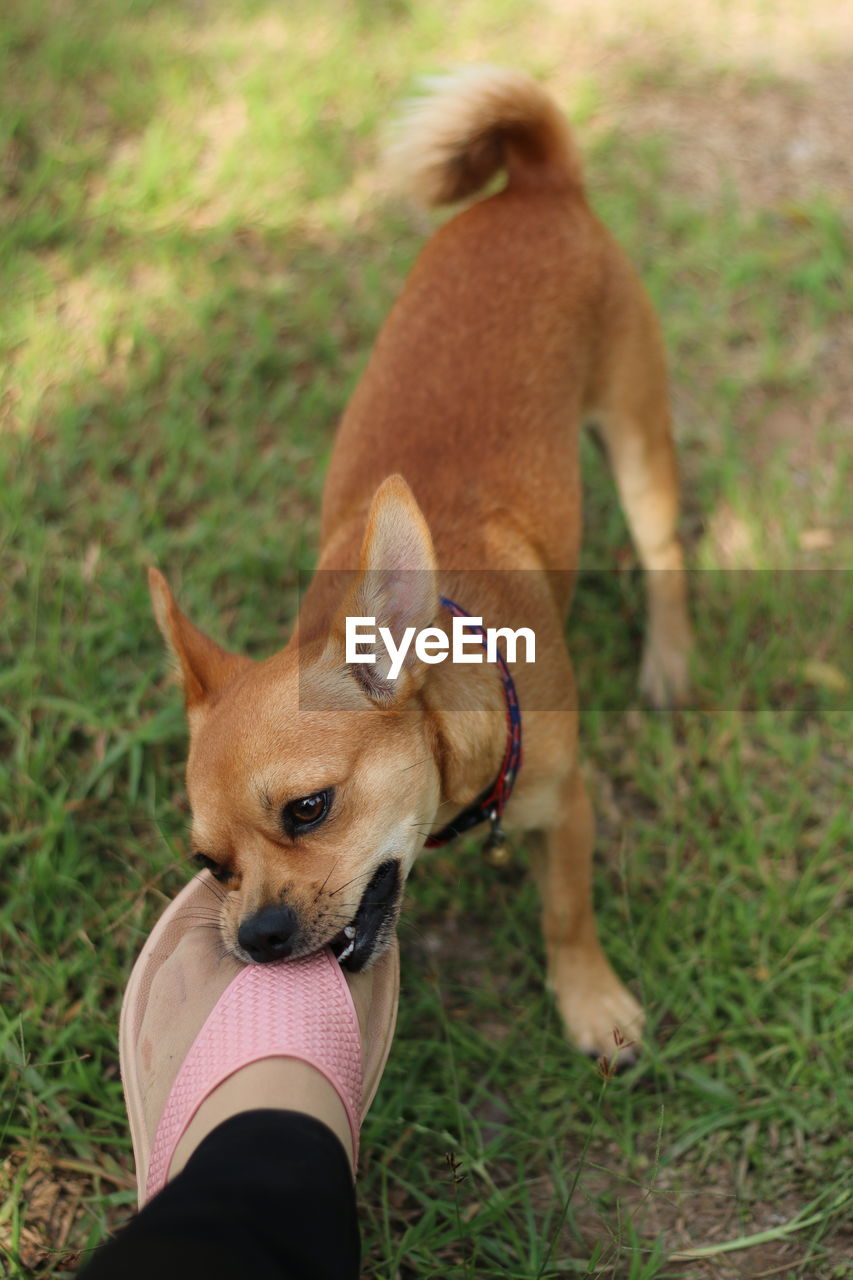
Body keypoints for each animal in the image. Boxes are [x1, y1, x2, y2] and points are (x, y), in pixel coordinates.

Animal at [147, 64, 691, 1054]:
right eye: (210, 865)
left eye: (309, 809)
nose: (257, 935)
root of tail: (537, 186)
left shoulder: (568, 809)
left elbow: (567, 913)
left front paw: (589, 1001)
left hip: (636, 440)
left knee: (662, 548)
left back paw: (666, 662)